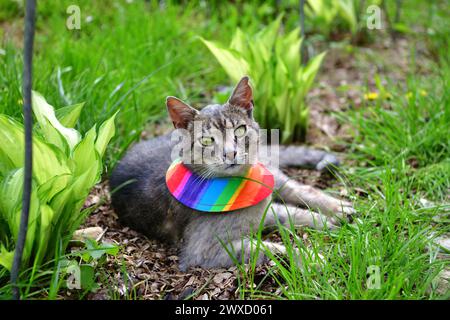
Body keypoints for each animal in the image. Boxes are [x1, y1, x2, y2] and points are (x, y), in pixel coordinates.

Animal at [110, 77, 356, 270]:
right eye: (207, 140)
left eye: (239, 130)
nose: (231, 153)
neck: (238, 186)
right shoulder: (206, 250)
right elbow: (271, 247)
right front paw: (311, 256)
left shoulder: (263, 208)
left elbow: (293, 212)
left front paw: (328, 221)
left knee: (299, 189)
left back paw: (338, 207)